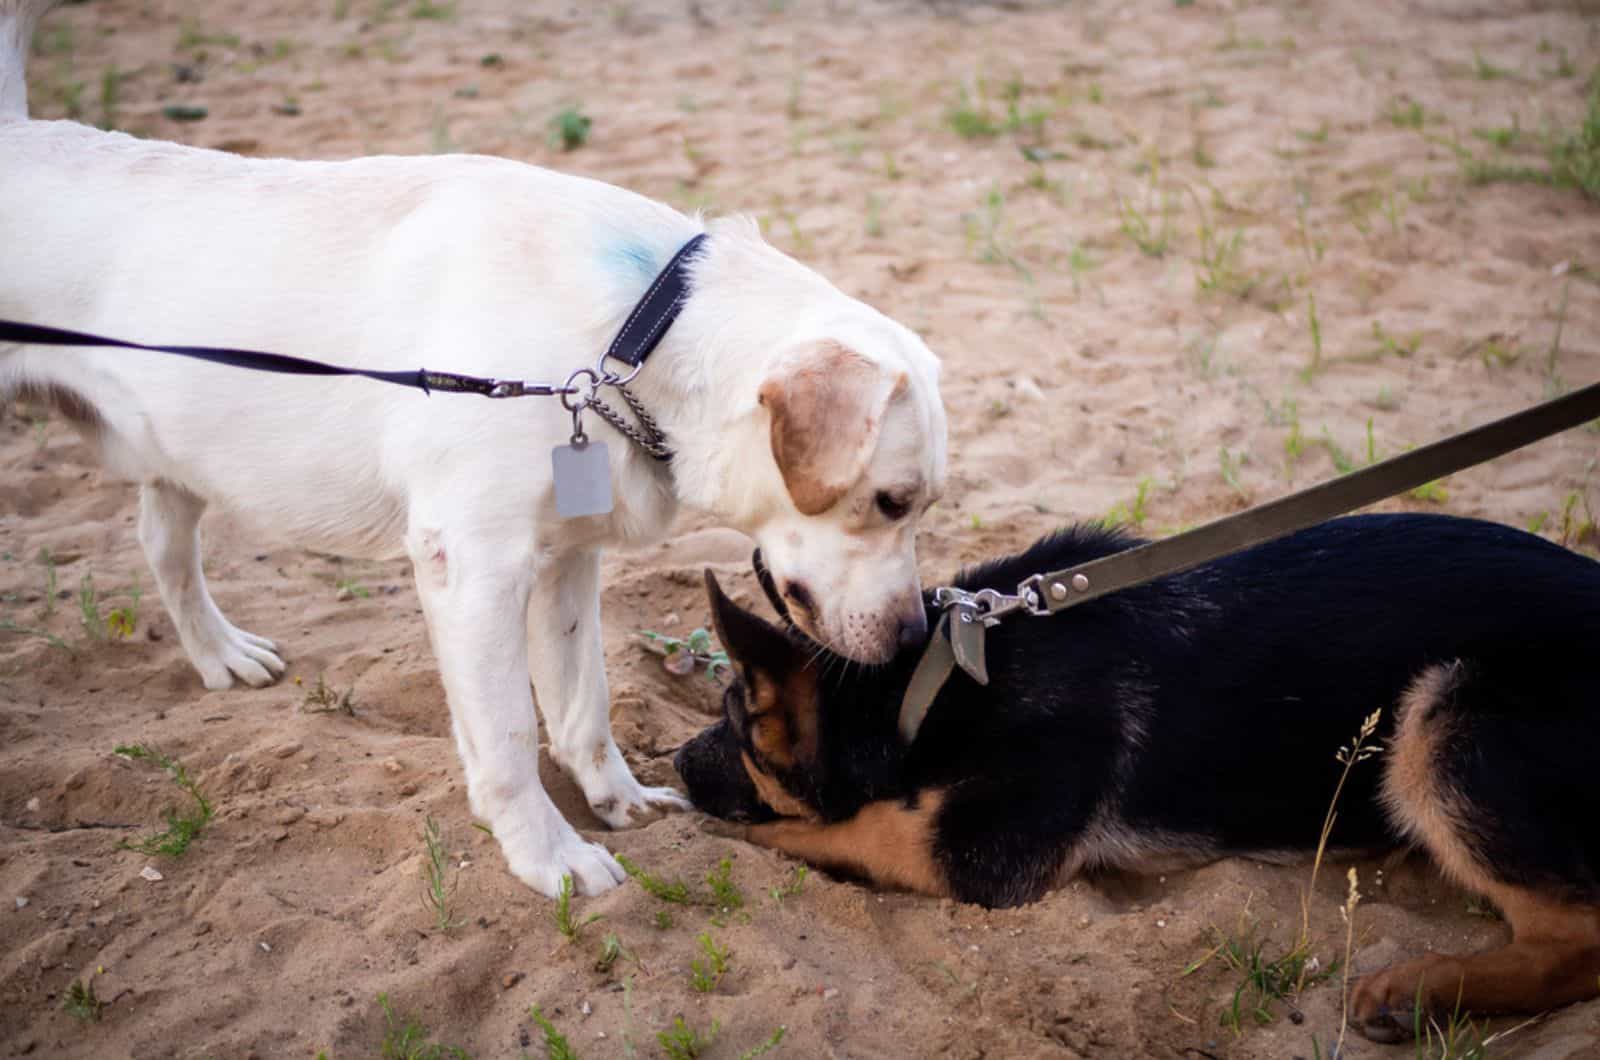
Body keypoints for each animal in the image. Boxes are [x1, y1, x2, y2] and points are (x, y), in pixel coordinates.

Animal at [0, 0, 940, 896]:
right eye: (890, 502)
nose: (912, 640)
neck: (635, 335)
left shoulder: (568, 559)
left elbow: (583, 702)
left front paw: (617, 800)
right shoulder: (474, 566)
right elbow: (511, 733)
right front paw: (547, 857)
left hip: (179, 449)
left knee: (163, 547)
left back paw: (219, 655)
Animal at [678, 515, 1600, 1043]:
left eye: (736, 719)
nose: (678, 763)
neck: (937, 678)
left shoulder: (983, 858)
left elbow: (850, 828)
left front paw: (743, 829)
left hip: (1442, 720)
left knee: (1576, 944)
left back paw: (1418, 990)